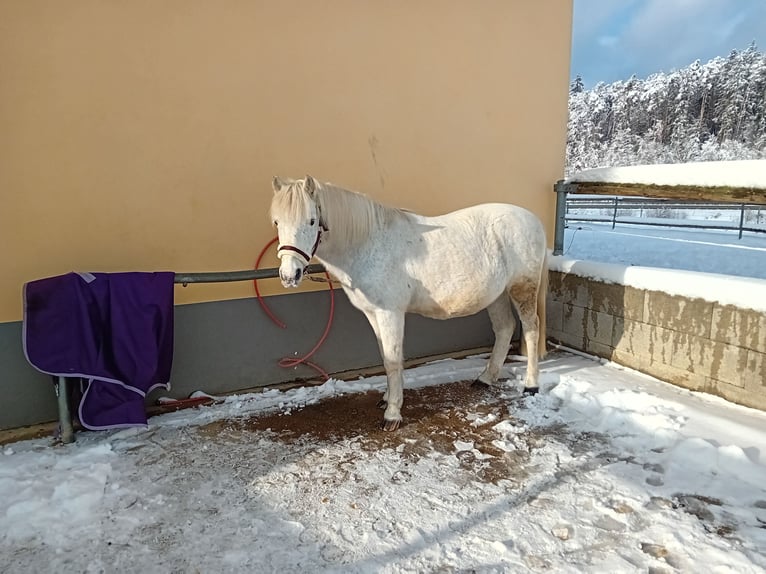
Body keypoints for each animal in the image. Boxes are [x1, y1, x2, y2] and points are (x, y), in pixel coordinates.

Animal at [270, 175, 548, 431]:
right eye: (277, 222)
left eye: (311, 221)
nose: (289, 275)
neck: (369, 244)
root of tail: (534, 220)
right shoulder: (373, 314)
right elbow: (385, 355)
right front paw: (387, 398)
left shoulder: (390, 313)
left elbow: (393, 360)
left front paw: (392, 414)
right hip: (496, 294)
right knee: (504, 328)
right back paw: (486, 379)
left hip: (522, 288)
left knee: (531, 329)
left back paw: (531, 385)